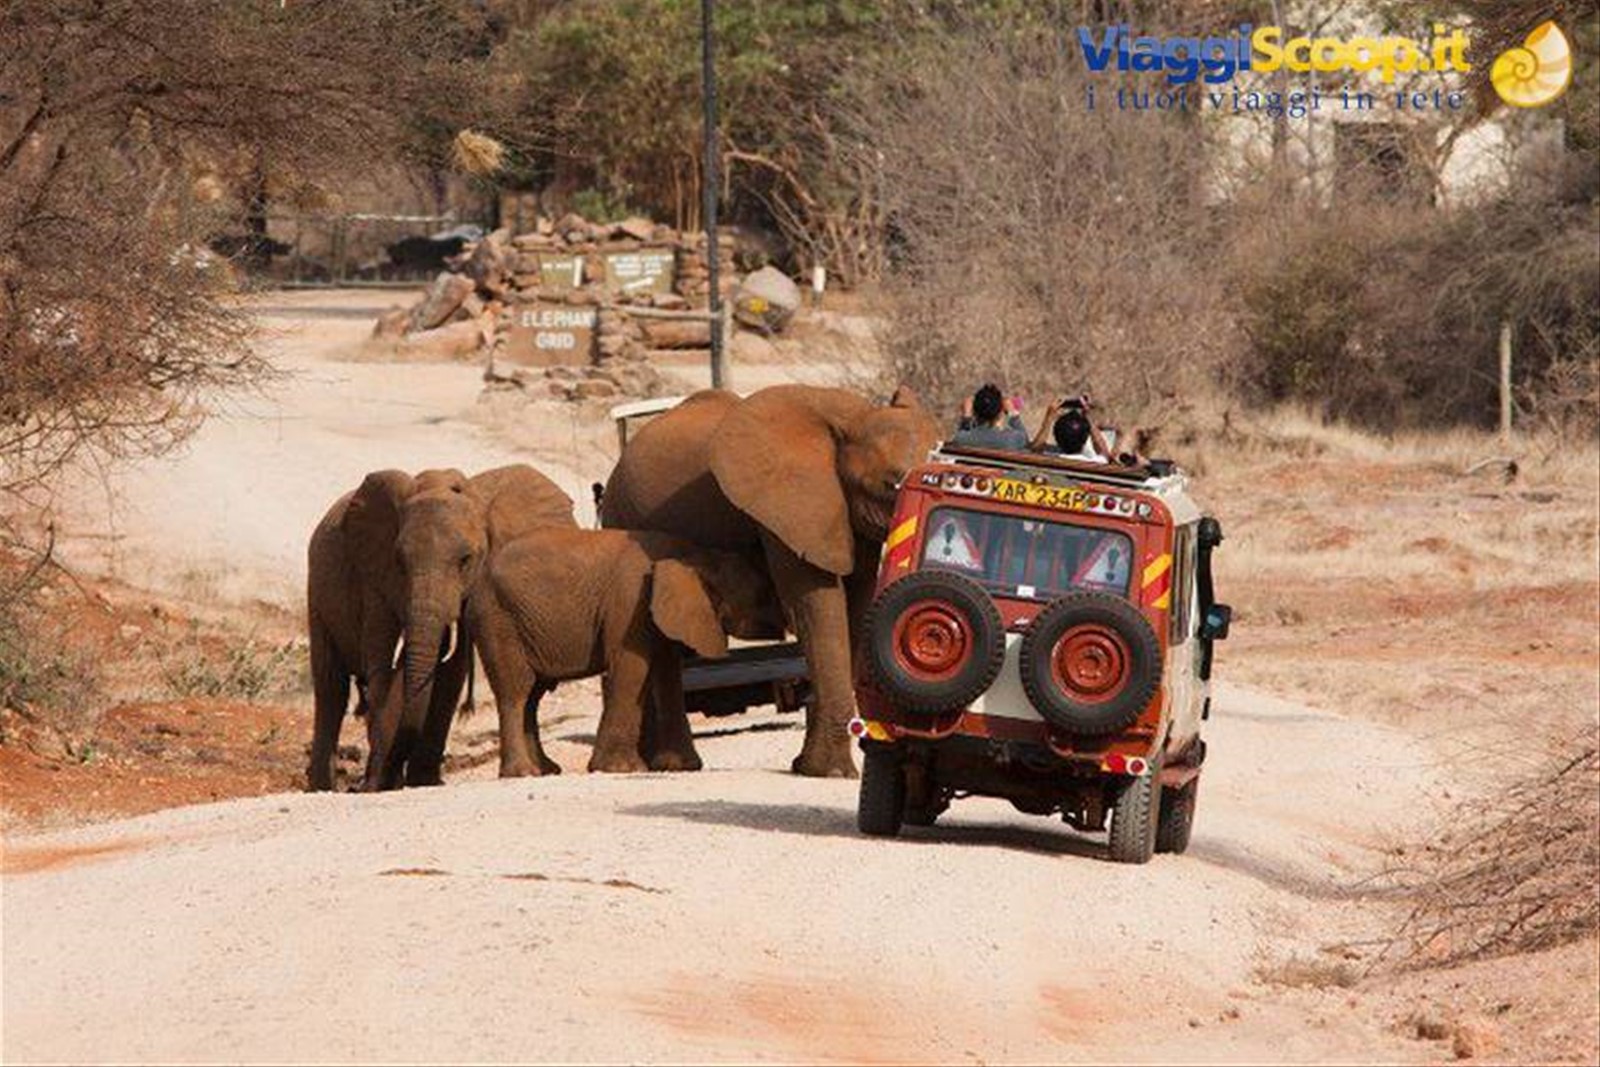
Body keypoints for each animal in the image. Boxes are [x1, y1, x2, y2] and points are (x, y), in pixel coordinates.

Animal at [306, 463, 576, 791]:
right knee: (331, 688)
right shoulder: (374, 575)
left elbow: (451, 672)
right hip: (317, 590)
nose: (368, 784)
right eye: (399, 562)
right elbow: (381, 666)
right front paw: (384, 783)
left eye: (466, 560)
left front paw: (424, 781)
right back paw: (324, 786)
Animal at [467, 528, 787, 775]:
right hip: (499, 620)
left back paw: (546, 770)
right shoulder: (631, 600)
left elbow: (668, 676)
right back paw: (523, 773)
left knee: (533, 697)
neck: (696, 556)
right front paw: (621, 769)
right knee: (516, 692)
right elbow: (632, 667)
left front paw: (679, 767)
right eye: (764, 593)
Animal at [599, 384, 942, 778]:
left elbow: (855, 609)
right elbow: (816, 604)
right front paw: (829, 773)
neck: (853, 418)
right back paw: (672, 766)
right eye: (890, 485)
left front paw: (807, 767)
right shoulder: (785, 509)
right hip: (622, 518)